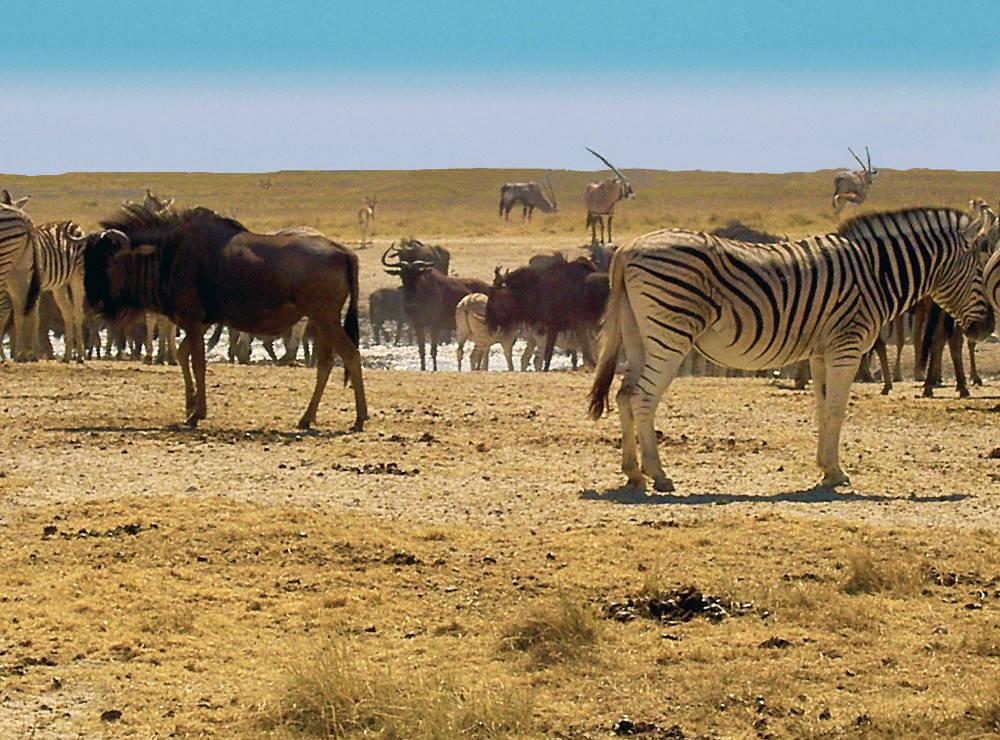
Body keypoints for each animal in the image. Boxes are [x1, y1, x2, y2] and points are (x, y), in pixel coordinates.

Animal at [588, 205, 996, 492]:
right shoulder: (846, 346)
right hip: (670, 332)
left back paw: (633, 473)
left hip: (639, 334)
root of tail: (628, 248)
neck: (877, 274)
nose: (988, 327)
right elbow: (837, 410)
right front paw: (836, 472)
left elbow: (822, 408)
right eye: (981, 268)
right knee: (642, 397)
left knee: (624, 394)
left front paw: (826, 468)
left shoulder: (820, 351)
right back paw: (658, 475)